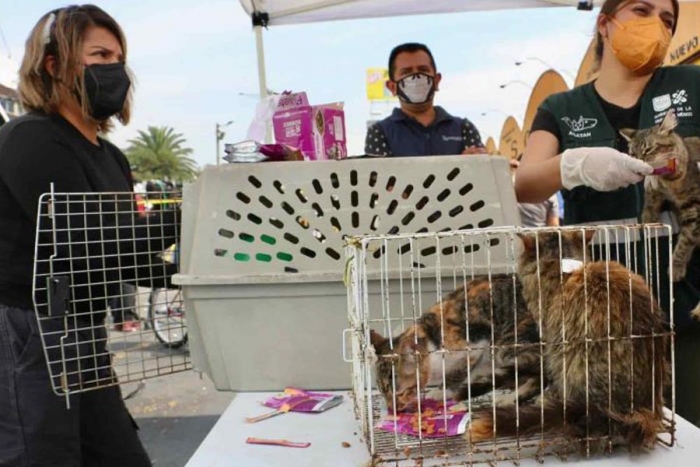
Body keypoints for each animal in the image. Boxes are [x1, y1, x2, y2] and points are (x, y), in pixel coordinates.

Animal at [370, 276, 544, 414]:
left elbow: (461, 371)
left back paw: (511, 397)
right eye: (383, 392)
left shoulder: (477, 342)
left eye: (401, 393)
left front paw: (441, 391)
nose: (392, 409)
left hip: (507, 343)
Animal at [620, 109, 700, 320]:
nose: (638, 162)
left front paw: (676, 267)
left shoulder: (694, 209)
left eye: (648, 150)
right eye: (633, 153)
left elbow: (685, 242)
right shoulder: (655, 191)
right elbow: (648, 205)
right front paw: (648, 222)